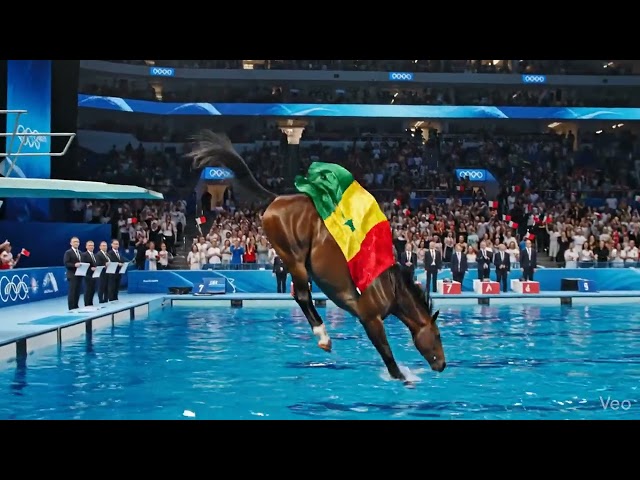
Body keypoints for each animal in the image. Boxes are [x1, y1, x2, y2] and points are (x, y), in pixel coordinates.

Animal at [188, 131, 446, 382]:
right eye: (437, 335)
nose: (442, 364)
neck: (387, 286)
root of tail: (276, 199)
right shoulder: (370, 319)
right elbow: (386, 353)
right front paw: (402, 377)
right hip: (293, 258)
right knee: (302, 295)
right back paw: (323, 337)